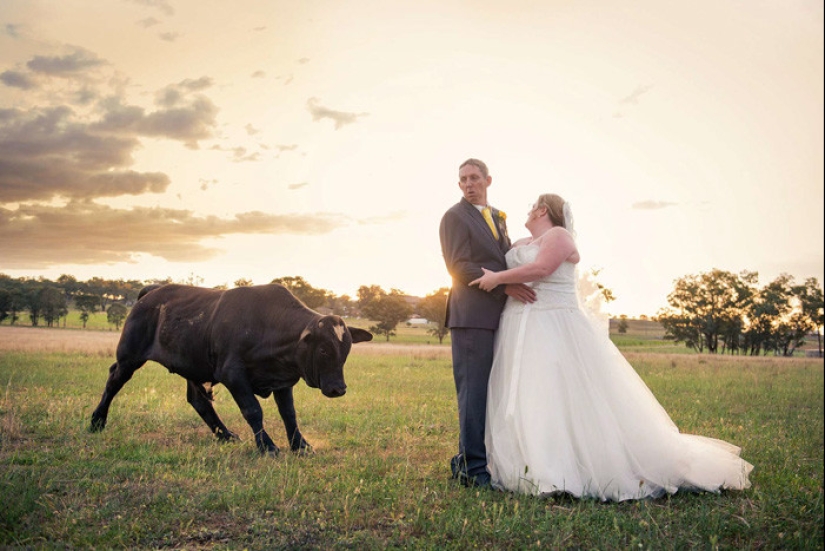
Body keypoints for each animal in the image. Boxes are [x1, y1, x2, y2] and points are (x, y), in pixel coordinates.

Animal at [89, 282, 370, 454]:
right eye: (323, 350)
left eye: (346, 350)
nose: (338, 389)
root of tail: (152, 292)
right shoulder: (233, 374)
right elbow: (253, 410)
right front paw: (267, 446)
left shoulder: (282, 380)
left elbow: (289, 414)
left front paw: (300, 445)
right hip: (129, 357)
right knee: (113, 381)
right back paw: (97, 421)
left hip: (192, 365)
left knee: (198, 401)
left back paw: (223, 434)